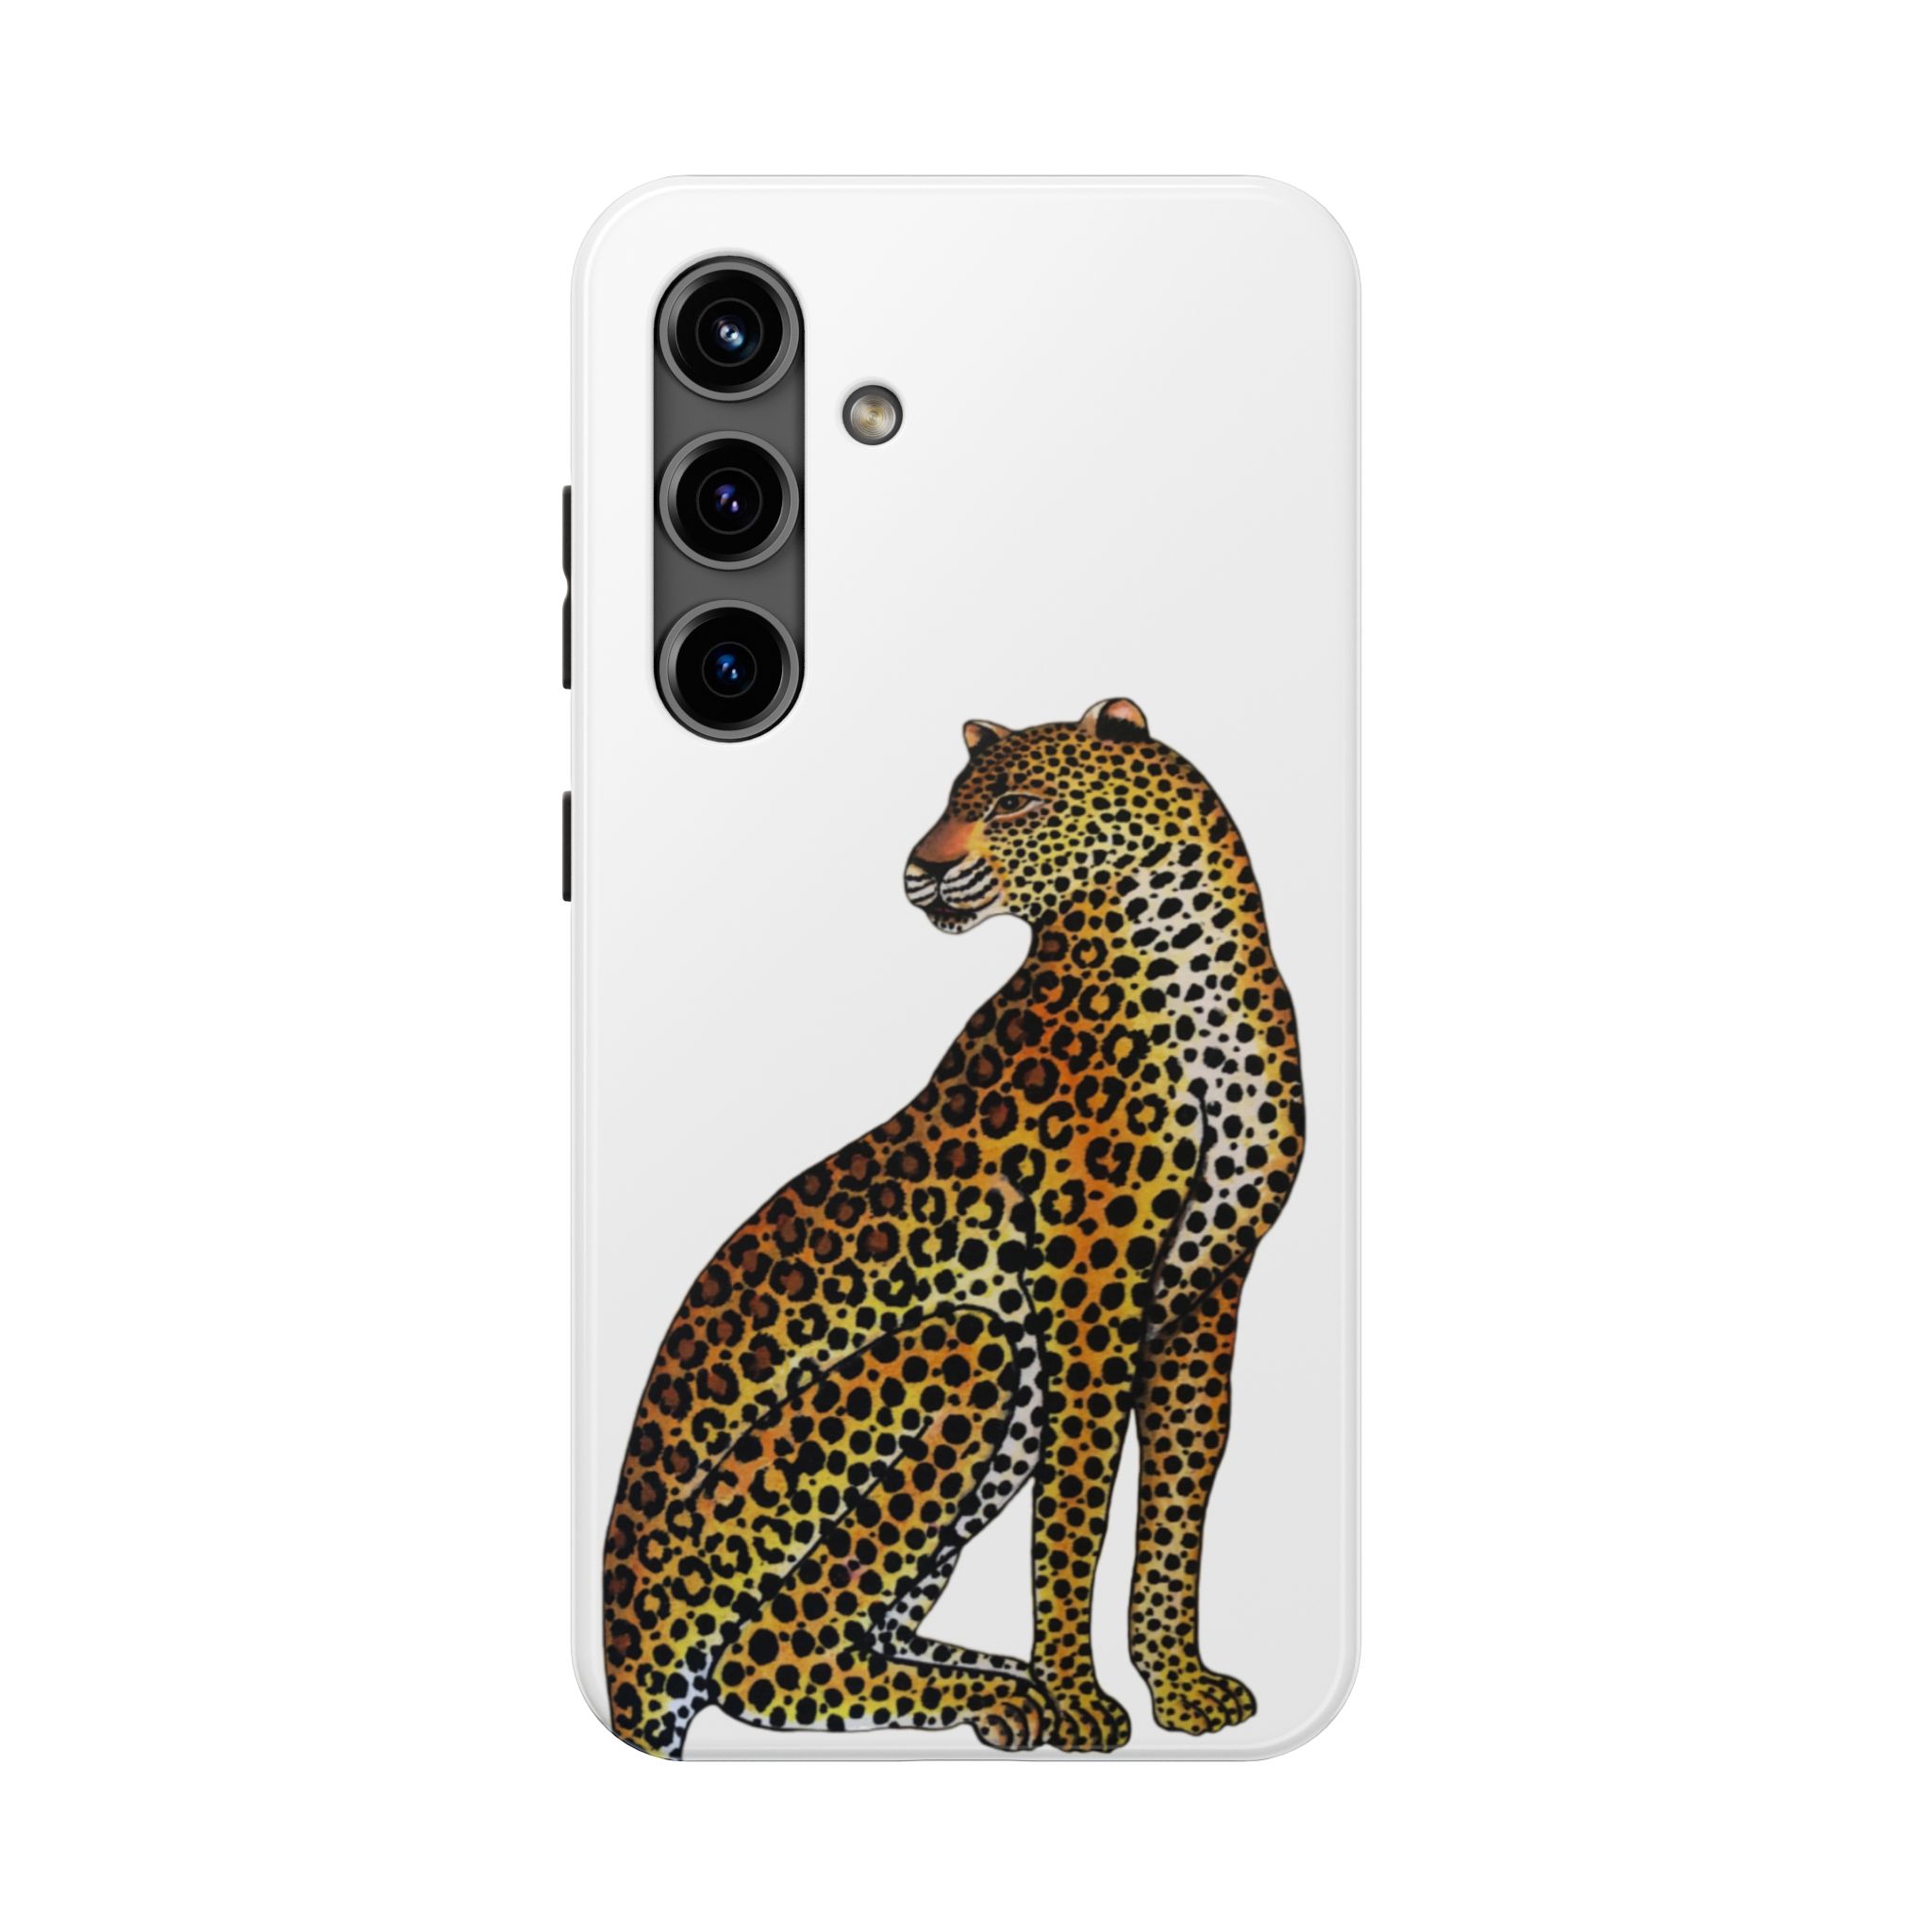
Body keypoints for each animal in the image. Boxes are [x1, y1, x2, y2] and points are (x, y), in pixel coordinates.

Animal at [602, 696, 1305, 1756]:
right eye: (951, 803)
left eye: (1014, 802)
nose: (919, 866)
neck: (1193, 959)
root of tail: (614, 1635)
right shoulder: (1087, 1298)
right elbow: (1075, 1509)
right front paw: (1080, 1701)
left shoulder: (1204, 1299)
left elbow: (1179, 1497)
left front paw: (1178, 1687)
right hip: (968, 1351)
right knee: (766, 1650)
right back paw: (1010, 1694)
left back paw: (995, 1682)